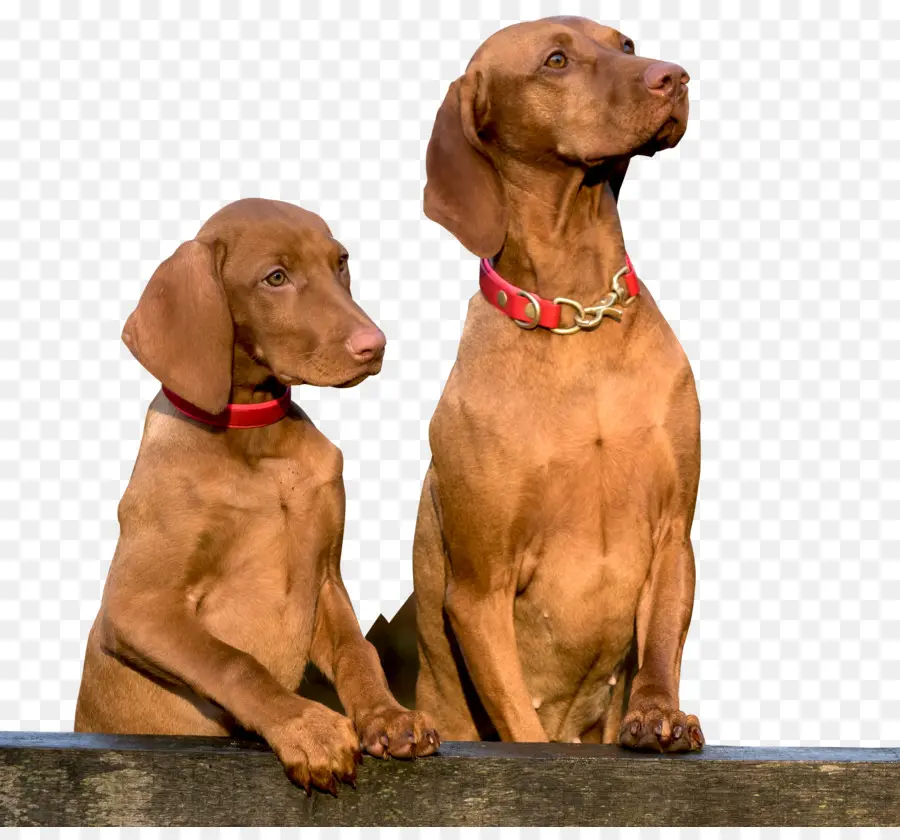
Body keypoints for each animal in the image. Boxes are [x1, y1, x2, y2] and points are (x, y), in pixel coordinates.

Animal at [76, 199, 440, 796]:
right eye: (275, 278)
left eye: (341, 262)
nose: (375, 344)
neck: (257, 444)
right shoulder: (135, 608)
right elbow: (234, 662)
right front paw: (308, 727)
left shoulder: (325, 579)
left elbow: (357, 650)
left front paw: (387, 715)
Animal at [414, 16, 704, 752]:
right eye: (555, 61)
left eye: (625, 44)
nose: (674, 75)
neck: (580, 320)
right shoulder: (479, 589)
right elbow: (520, 723)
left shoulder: (672, 534)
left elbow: (662, 643)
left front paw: (659, 714)